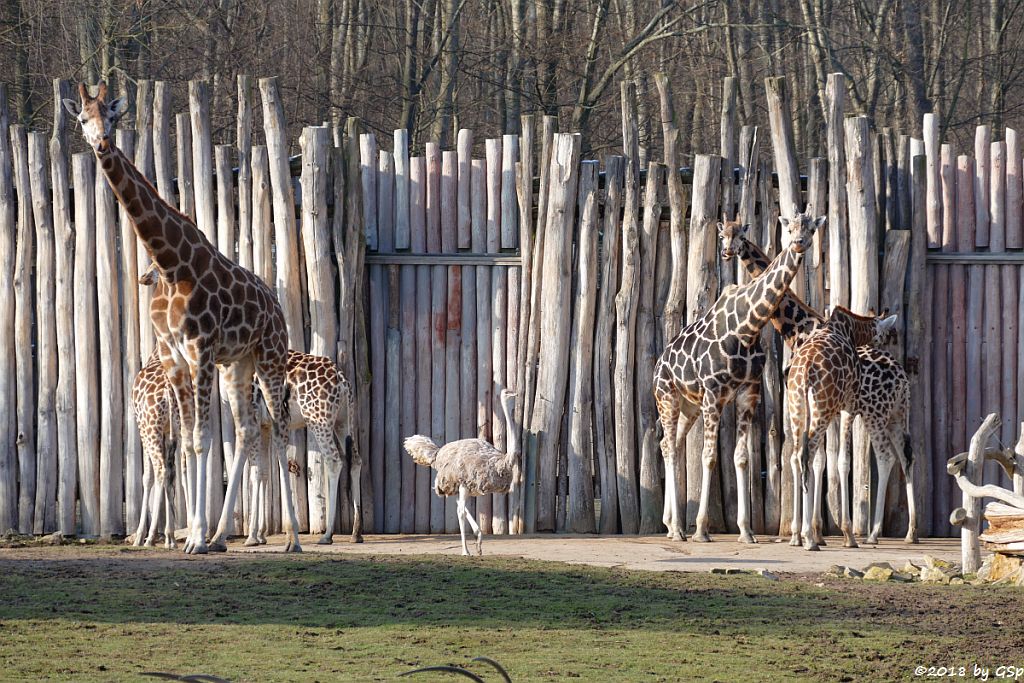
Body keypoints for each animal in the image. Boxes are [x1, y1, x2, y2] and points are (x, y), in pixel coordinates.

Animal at [65, 83, 299, 557]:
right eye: (81, 118)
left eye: (112, 117)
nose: (101, 144)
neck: (170, 264)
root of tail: (275, 303)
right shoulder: (176, 356)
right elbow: (189, 442)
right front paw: (193, 536)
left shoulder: (200, 349)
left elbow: (202, 440)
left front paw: (192, 539)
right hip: (238, 366)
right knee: (246, 430)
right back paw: (223, 534)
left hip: (269, 357)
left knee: (281, 430)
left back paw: (293, 540)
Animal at [655, 210, 823, 540]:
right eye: (791, 229)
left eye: (811, 229)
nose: (799, 243)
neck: (748, 326)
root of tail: (658, 365)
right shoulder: (714, 392)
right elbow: (709, 456)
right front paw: (701, 530)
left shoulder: (748, 391)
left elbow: (742, 458)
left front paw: (746, 530)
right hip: (668, 397)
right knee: (670, 449)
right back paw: (679, 529)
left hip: (689, 406)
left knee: (672, 445)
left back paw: (670, 525)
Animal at [782, 307, 897, 552]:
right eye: (885, 335)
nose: (884, 351)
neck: (848, 329)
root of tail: (805, 371)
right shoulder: (848, 406)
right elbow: (844, 461)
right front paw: (848, 534)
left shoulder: (834, 412)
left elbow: (823, 460)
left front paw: (818, 531)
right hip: (821, 409)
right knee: (805, 455)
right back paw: (807, 538)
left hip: (799, 409)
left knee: (796, 456)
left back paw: (796, 535)